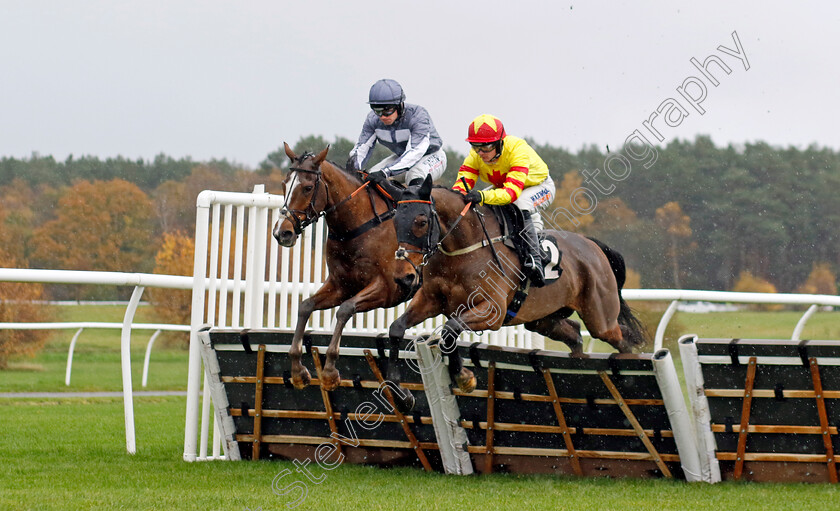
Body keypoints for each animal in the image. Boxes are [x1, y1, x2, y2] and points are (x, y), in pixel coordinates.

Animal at [272, 144, 414, 392]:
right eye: (284, 183)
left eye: (308, 187)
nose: (283, 232)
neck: (358, 226)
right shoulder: (341, 285)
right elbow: (305, 306)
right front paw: (298, 370)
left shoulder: (388, 290)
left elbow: (345, 309)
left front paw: (329, 371)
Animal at [388, 176, 644, 412]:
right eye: (395, 221)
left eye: (421, 221)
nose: (404, 273)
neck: (463, 248)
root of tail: (593, 246)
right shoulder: (430, 300)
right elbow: (398, 328)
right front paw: (401, 394)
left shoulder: (493, 311)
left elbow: (450, 329)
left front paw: (464, 378)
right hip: (543, 320)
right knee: (575, 334)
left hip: (600, 319)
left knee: (623, 338)